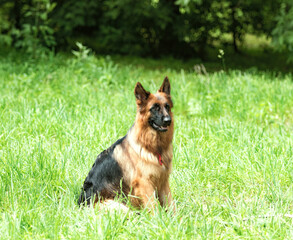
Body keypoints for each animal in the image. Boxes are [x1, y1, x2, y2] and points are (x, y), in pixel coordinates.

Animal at [78, 77, 173, 210]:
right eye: (154, 108)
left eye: (167, 107)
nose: (168, 120)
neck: (152, 147)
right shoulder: (145, 185)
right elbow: (154, 208)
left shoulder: (164, 183)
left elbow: (171, 205)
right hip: (120, 206)